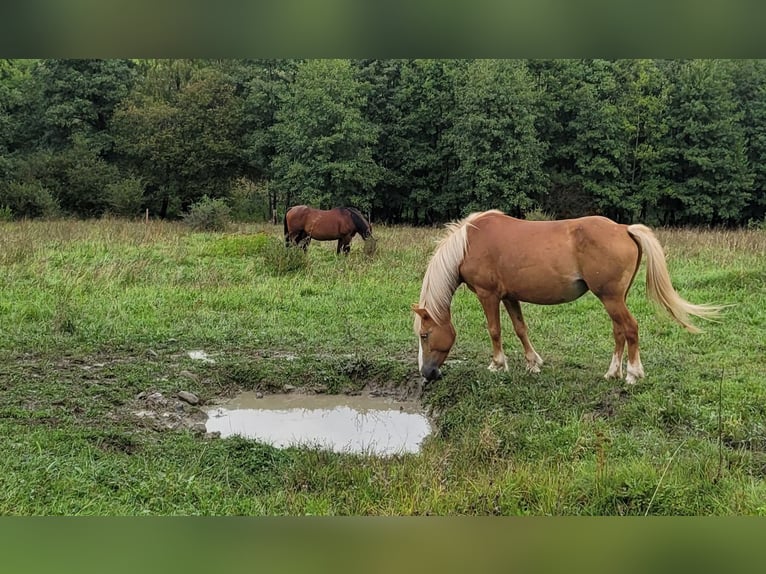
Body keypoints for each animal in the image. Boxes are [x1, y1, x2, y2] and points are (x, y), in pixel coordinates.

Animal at [412, 212, 724, 388]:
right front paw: (533, 363)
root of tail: (624, 228)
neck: (468, 244)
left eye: (425, 335)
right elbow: (520, 328)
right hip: (615, 299)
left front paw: (498, 365)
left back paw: (633, 374)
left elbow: (495, 330)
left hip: (611, 298)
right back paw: (612, 373)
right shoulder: (510, 296)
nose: (427, 373)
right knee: (619, 331)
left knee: (631, 328)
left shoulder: (488, 295)